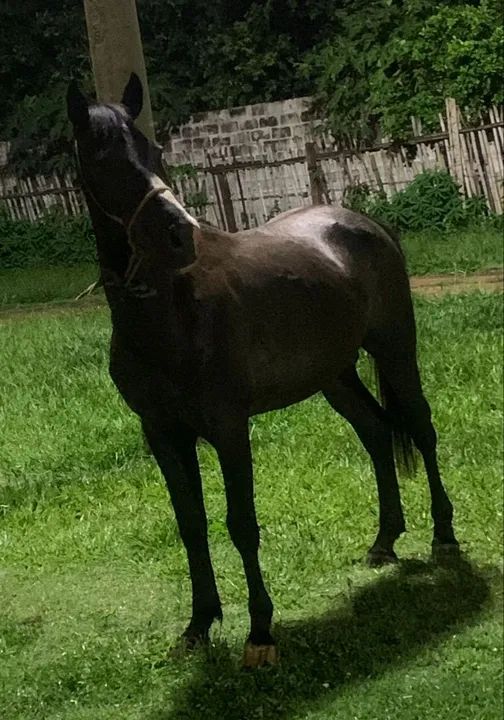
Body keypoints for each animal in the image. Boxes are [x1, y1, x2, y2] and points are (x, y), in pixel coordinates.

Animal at [67, 74, 459, 668]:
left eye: (154, 152)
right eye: (102, 156)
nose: (179, 235)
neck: (172, 314)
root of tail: (365, 223)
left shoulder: (229, 428)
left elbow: (241, 524)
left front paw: (259, 633)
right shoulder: (162, 433)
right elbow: (191, 524)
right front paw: (199, 625)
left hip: (395, 352)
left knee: (420, 427)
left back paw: (443, 538)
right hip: (334, 377)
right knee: (375, 433)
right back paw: (384, 541)